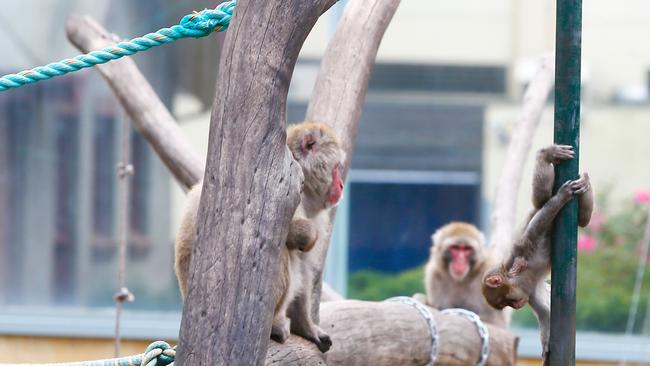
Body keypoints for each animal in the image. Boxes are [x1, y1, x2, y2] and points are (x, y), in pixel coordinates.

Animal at [480, 144, 592, 364]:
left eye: (505, 302)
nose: (516, 306)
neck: (519, 277)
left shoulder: (522, 252)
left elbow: (536, 230)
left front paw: (561, 197)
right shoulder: (529, 292)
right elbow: (546, 313)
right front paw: (547, 351)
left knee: (541, 200)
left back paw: (547, 155)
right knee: (580, 219)